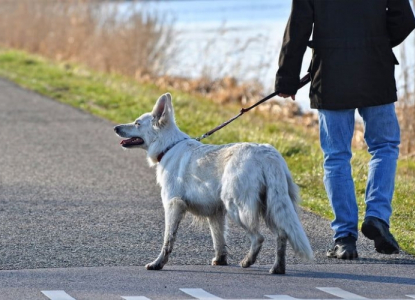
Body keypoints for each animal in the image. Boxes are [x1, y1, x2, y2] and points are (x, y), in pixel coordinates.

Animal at [114, 94, 312, 274]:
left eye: (137, 123)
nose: (116, 127)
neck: (168, 146)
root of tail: (268, 154)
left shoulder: (173, 205)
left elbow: (168, 240)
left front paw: (158, 263)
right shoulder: (215, 213)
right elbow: (219, 240)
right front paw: (220, 260)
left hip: (237, 208)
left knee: (259, 238)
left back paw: (248, 261)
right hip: (270, 207)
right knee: (282, 235)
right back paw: (277, 268)